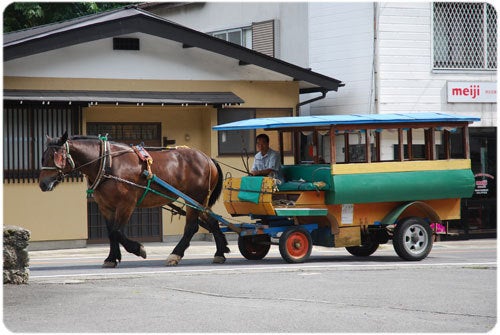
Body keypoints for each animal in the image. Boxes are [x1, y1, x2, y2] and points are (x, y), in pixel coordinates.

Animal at [39, 133, 229, 270]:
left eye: (56, 157)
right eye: (43, 157)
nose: (43, 183)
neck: (107, 164)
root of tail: (207, 158)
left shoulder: (126, 204)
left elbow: (117, 231)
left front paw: (138, 249)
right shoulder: (105, 206)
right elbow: (111, 233)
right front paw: (111, 258)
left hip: (195, 198)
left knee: (191, 227)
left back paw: (175, 254)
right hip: (200, 201)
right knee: (213, 222)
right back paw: (220, 252)